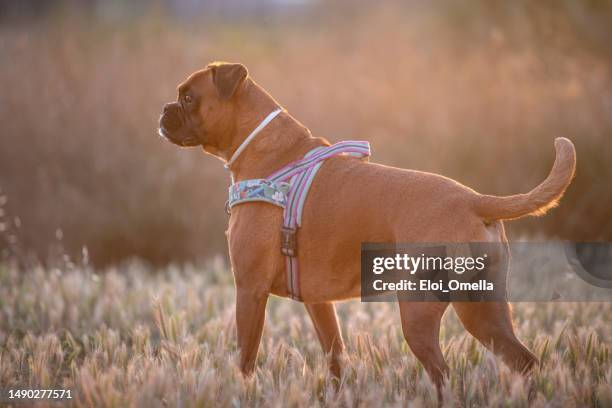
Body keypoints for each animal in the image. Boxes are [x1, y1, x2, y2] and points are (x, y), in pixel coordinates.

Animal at [159, 60, 580, 392]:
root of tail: (473, 199)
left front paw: (241, 391)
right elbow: (335, 359)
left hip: (421, 313)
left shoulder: (249, 291)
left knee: (443, 373)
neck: (270, 152)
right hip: (486, 311)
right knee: (524, 362)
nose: (164, 110)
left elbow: (245, 359)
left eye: (188, 97)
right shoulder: (319, 304)